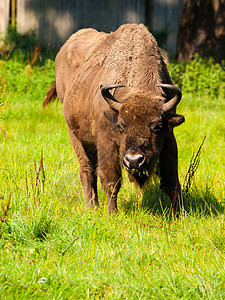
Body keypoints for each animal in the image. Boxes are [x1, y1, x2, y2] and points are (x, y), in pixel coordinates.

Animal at [43, 24, 185, 214]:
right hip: (75, 135)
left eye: (156, 127)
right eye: (121, 126)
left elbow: (172, 183)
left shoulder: (169, 139)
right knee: (87, 168)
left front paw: (179, 214)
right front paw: (112, 213)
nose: (134, 160)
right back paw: (91, 207)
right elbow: (111, 181)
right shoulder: (106, 142)